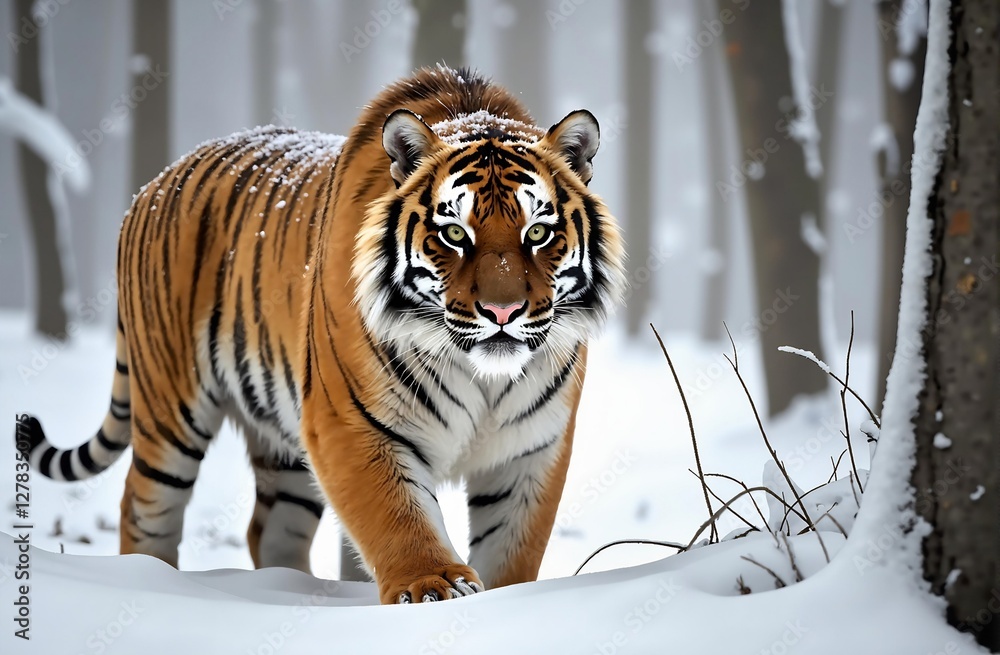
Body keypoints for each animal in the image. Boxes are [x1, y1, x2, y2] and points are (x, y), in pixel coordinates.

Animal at [18, 66, 626, 604]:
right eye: (454, 233)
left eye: (538, 232)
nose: (503, 310)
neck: (483, 375)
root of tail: (152, 184)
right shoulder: (352, 421)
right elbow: (398, 515)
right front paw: (433, 587)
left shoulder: (531, 448)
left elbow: (513, 550)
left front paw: (500, 601)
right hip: (170, 409)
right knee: (143, 510)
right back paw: (153, 584)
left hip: (283, 444)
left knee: (270, 529)